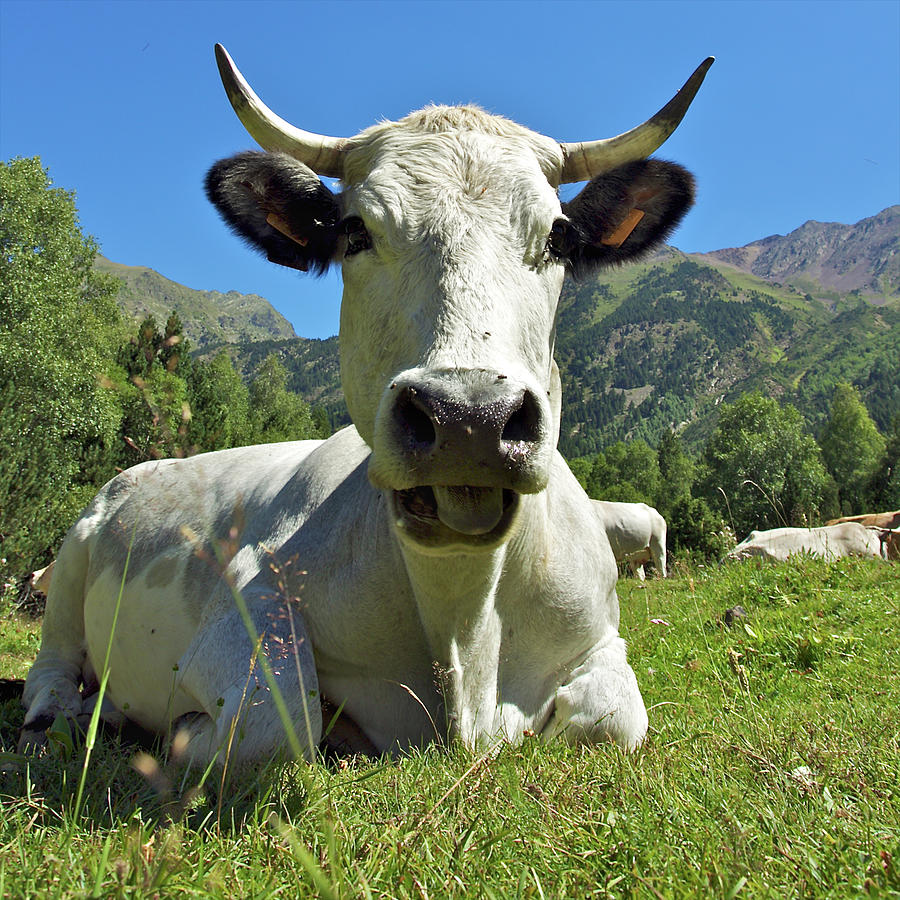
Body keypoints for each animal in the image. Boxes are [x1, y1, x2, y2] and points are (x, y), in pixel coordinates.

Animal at [17, 45, 712, 768]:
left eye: (558, 238)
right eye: (354, 232)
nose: (469, 417)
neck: (464, 627)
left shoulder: (601, 638)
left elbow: (612, 721)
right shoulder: (250, 593)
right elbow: (275, 723)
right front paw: (185, 732)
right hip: (73, 554)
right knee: (53, 660)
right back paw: (68, 710)